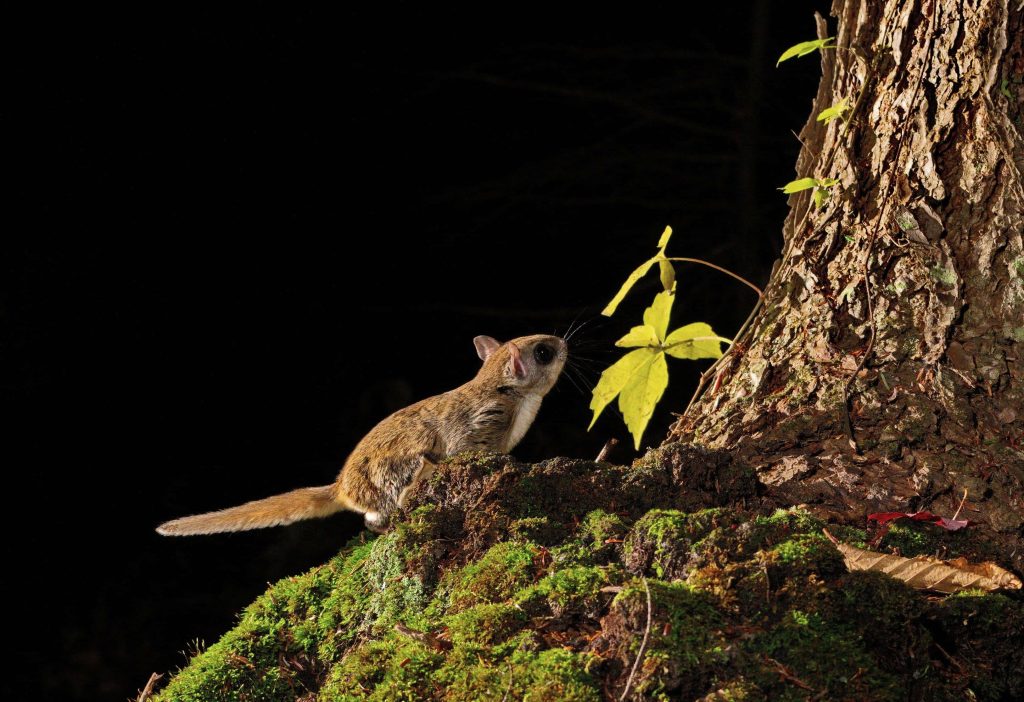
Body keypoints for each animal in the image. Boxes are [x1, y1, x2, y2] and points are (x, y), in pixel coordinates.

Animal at [157, 334, 567, 536]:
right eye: (544, 352)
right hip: (409, 462)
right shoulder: (480, 426)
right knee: (378, 513)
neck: (509, 392)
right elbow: (472, 450)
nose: (566, 342)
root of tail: (340, 488)